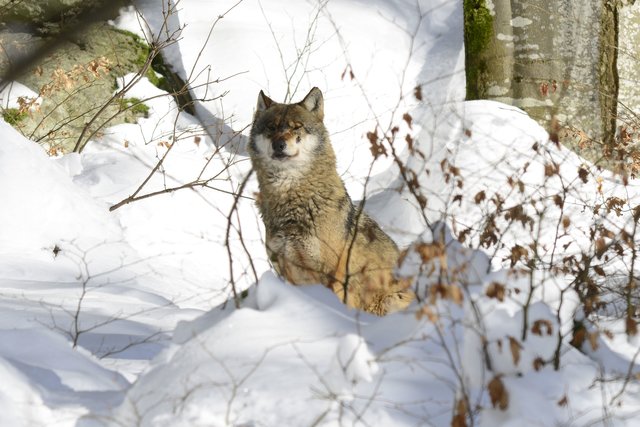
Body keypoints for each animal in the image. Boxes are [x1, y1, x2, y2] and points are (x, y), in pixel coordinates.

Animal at [248, 87, 412, 316]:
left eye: (296, 127)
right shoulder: (286, 272)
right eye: (271, 128)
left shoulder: (330, 275)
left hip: (390, 301)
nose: (278, 144)